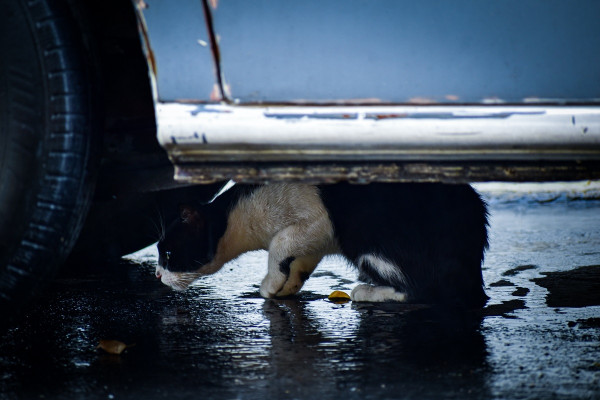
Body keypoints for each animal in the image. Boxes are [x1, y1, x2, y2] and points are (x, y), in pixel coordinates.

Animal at [155, 183, 488, 308]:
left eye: (168, 254)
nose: (157, 274)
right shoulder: (315, 238)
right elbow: (299, 260)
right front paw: (286, 285)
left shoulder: (319, 220)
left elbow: (279, 244)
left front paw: (269, 284)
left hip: (361, 236)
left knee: (422, 290)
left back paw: (365, 291)